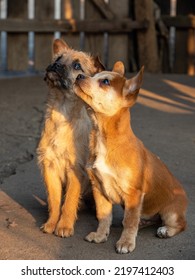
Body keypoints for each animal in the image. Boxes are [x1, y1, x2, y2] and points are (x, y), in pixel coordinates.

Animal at [36, 38, 103, 237]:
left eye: (77, 65)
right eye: (58, 58)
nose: (56, 65)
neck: (63, 111)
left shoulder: (75, 170)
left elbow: (69, 201)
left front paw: (64, 226)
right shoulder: (49, 167)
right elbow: (55, 200)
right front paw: (51, 223)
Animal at [74, 61, 187, 254]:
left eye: (105, 82)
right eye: (93, 75)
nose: (79, 76)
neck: (102, 137)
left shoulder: (133, 194)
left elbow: (129, 221)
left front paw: (126, 242)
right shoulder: (99, 189)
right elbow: (104, 216)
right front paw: (100, 235)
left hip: (170, 213)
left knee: (180, 224)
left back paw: (165, 230)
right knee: (144, 218)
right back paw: (144, 222)